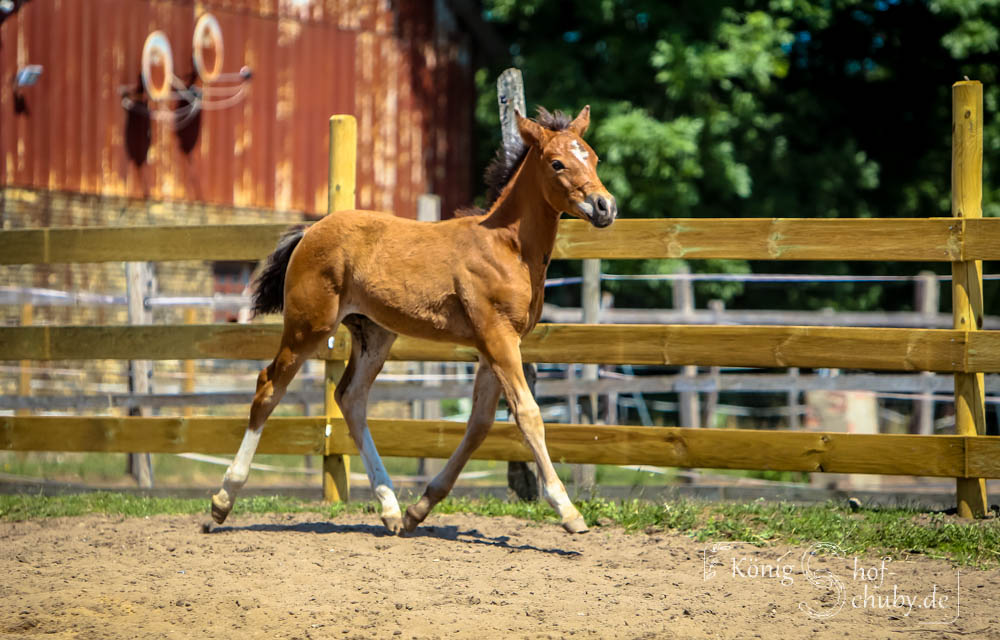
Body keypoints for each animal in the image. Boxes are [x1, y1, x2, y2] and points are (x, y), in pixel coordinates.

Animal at [210, 105, 617, 535]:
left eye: (593, 157)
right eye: (557, 163)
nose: (605, 206)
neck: (508, 247)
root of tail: (309, 231)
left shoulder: (494, 345)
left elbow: (480, 424)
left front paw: (419, 509)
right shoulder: (498, 337)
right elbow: (528, 415)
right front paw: (568, 511)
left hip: (375, 334)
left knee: (350, 397)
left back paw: (390, 508)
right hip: (310, 326)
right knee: (269, 387)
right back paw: (222, 501)